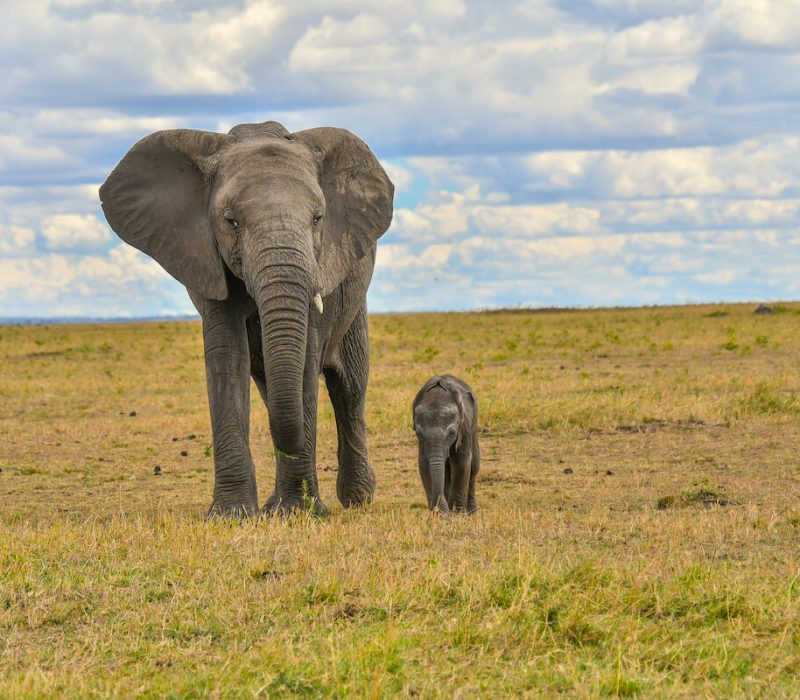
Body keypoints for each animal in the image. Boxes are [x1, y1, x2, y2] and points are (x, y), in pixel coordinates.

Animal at [100, 120, 394, 517]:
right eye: (231, 221)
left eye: (318, 218)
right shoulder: (206, 260)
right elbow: (227, 358)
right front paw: (232, 515)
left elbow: (307, 361)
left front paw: (293, 512)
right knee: (272, 387)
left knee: (349, 388)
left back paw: (357, 498)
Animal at [412, 375, 480, 514]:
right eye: (419, 434)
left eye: (452, 434)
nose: (438, 510)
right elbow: (424, 464)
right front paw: (441, 514)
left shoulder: (464, 429)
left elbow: (461, 462)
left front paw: (457, 513)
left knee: (474, 467)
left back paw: (471, 512)